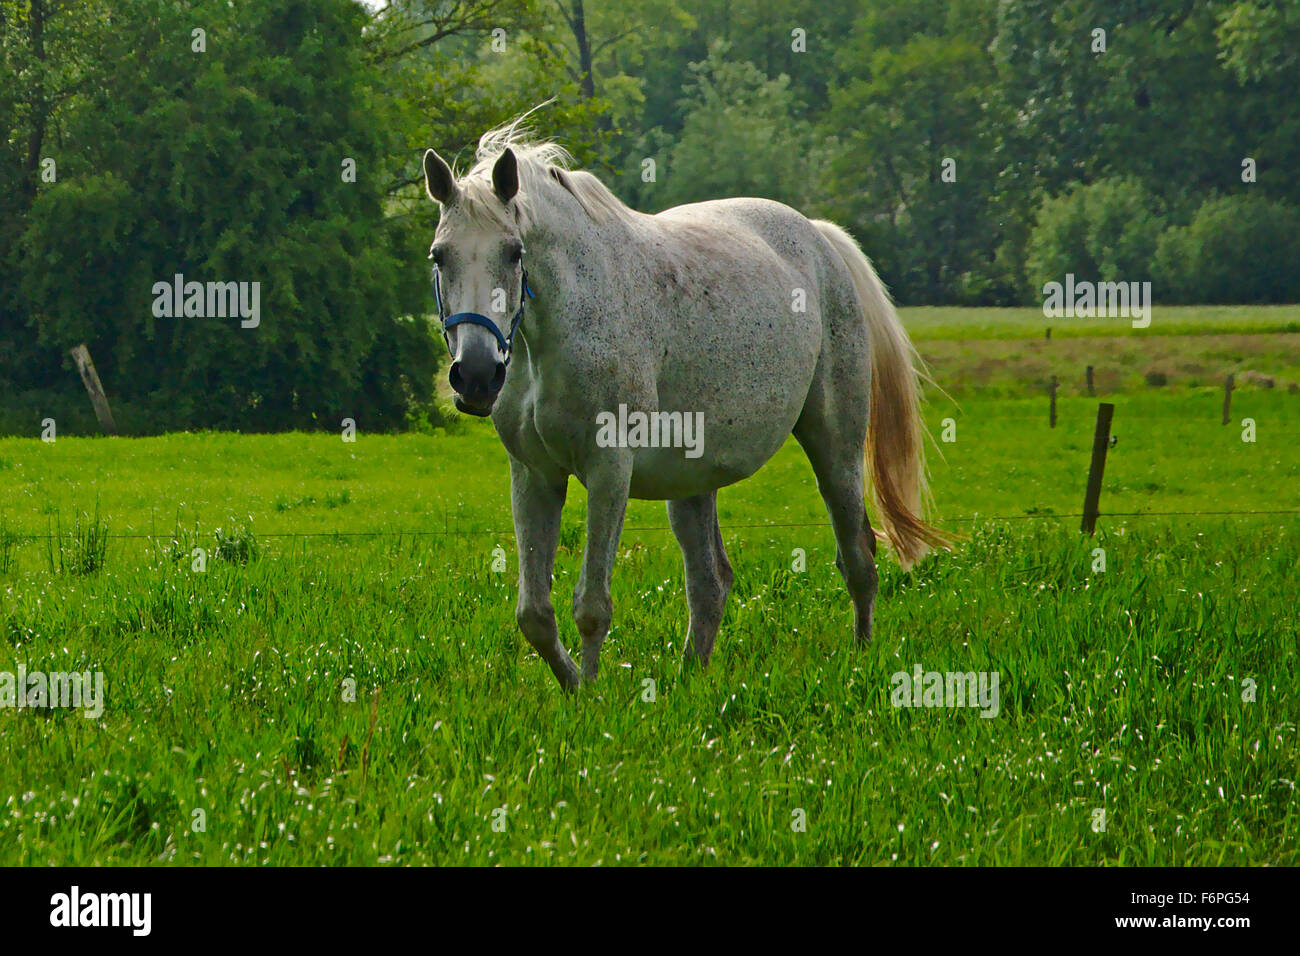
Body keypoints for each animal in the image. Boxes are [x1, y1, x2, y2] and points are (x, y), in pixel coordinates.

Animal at [422, 117, 950, 691]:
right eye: (439, 255)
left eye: (514, 252)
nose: (476, 376)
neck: (559, 327)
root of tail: (820, 240)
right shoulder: (534, 474)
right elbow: (535, 615)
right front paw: (575, 688)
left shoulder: (609, 469)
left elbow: (591, 607)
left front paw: (592, 697)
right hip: (692, 483)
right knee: (709, 583)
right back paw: (691, 677)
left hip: (836, 449)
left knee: (858, 560)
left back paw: (860, 659)